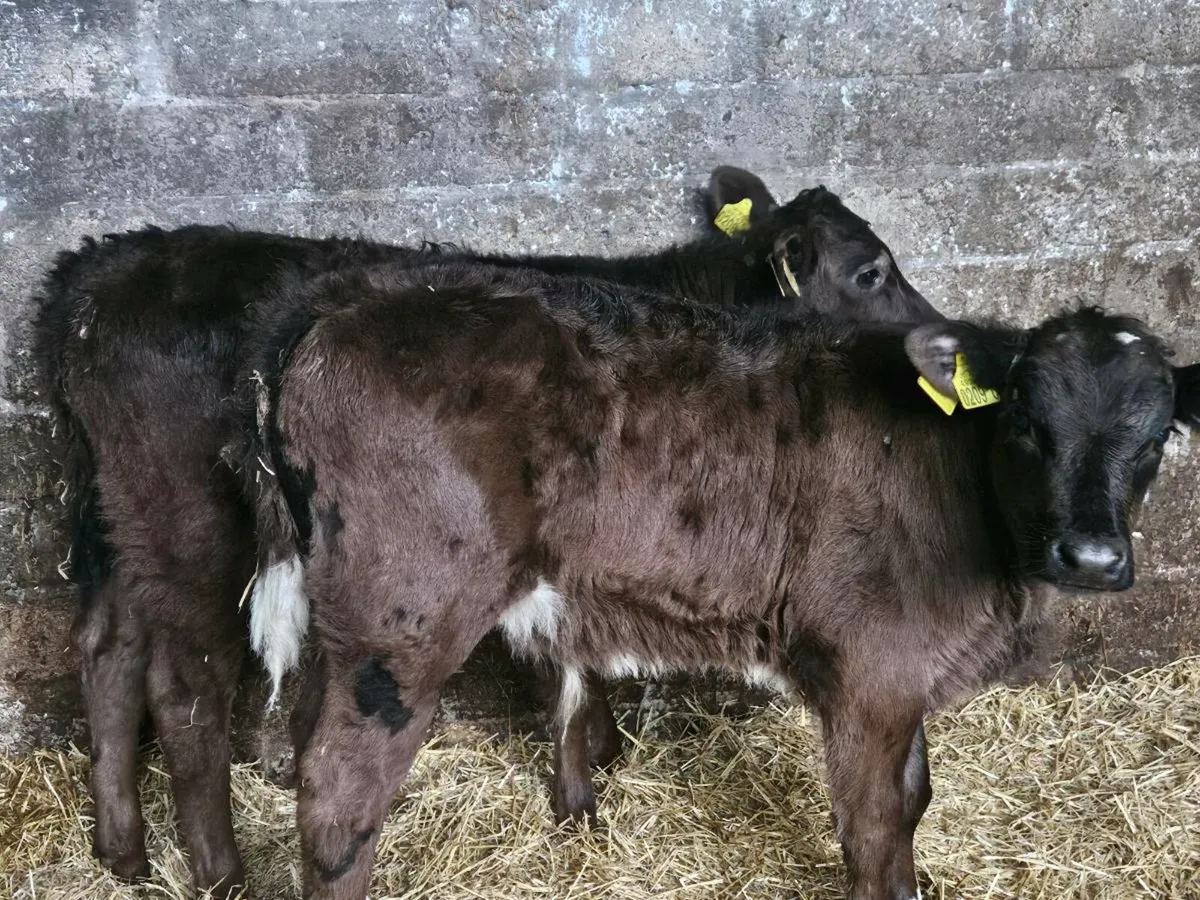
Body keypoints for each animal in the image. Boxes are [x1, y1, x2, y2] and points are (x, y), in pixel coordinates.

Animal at [32, 168, 937, 898]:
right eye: (871, 269)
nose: (939, 339)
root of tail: (94, 270)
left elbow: (563, 663)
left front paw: (588, 776)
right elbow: (563, 671)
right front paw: (586, 785)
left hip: (119, 520)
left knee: (107, 653)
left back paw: (122, 853)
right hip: (190, 527)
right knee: (188, 692)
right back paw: (220, 873)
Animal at [239, 255, 1200, 900]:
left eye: (1158, 437)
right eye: (1028, 423)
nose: (1092, 557)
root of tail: (344, 305)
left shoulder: (903, 672)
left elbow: (916, 796)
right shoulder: (872, 668)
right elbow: (878, 831)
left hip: (344, 613)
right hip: (404, 616)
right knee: (338, 793)